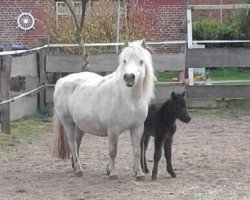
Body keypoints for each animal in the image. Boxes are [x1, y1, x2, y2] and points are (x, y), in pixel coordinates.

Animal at [52, 39, 154, 180]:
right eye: (124, 61)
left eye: (141, 61)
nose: (129, 77)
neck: (129, 99)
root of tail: (61, 81)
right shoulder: (113, 130)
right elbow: (112, 151)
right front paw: (112, 173)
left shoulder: (137, 128)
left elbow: (137, 150)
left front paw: (139, 173)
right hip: (68, 123)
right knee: (72, 144)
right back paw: (79, 170)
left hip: (80, 126)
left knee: (77, 144)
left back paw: (75, 167)